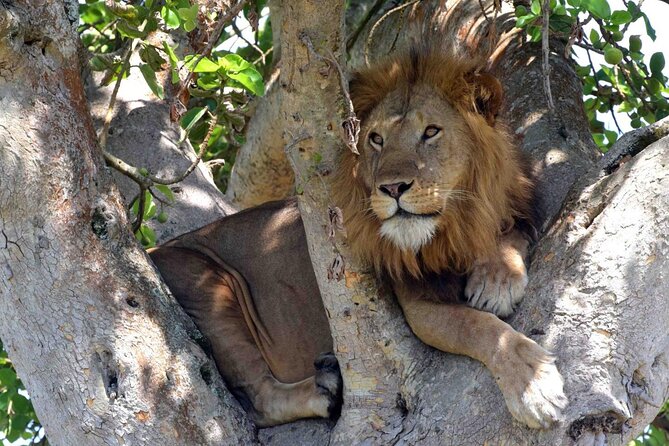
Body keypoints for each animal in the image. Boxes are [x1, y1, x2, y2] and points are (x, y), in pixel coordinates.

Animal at [149, 47, 568, 429]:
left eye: (431, 132)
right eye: (376, 139)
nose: (393, 188)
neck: (453, 226)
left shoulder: (516, 209)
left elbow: (511, 234)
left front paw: (496, 280)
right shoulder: (416, 304)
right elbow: (479, 327)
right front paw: (533, 385)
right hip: (205, 281)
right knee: (259, 400)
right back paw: (325, 390)